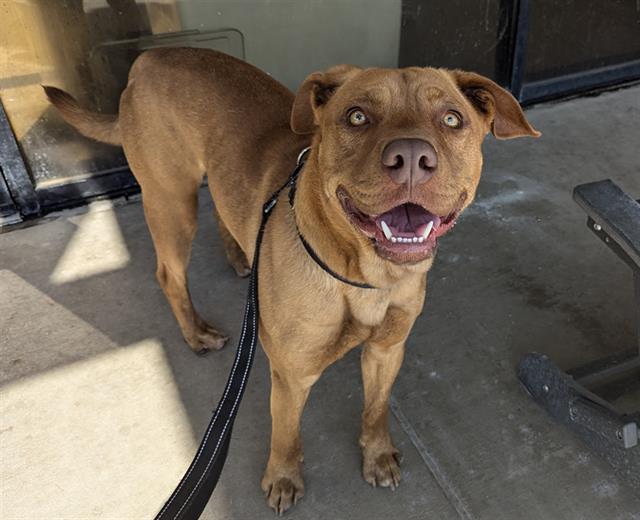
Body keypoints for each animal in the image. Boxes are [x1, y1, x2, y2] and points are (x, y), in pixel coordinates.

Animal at [45, 47, 536, 512]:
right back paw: (196, 332)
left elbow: (375, 409)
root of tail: (148, 58)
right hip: (171, 201)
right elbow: (287, 432)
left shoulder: (387, 350)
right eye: (357, 116)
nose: (413, 158)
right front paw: (282, 478)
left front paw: (377, 455)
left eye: (452, 119)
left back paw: (241, 256)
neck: (363, 276)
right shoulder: (291, 375)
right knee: (169, 273)